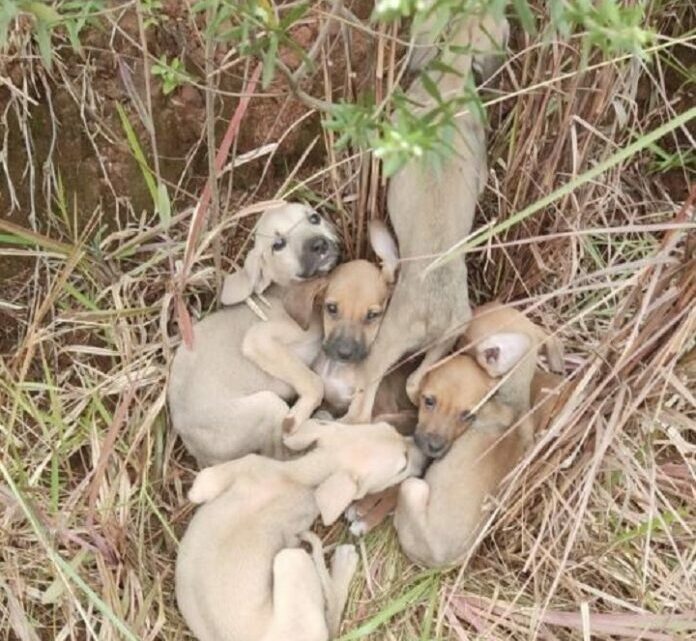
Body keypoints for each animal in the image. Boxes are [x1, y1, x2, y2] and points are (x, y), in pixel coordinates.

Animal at [175, 418, 424, 640]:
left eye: (391, 427)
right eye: (402, 465)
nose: (427, 456)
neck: (298, 475)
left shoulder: (243, 466)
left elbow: (203, 485)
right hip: (291, 560)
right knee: (331, 619)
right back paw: (344, 563)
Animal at [344, 12, 512, 422]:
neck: (451, 82)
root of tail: (434, 312)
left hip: (386, 340)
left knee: (365, 400)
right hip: (447, 339)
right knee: (413, 382)